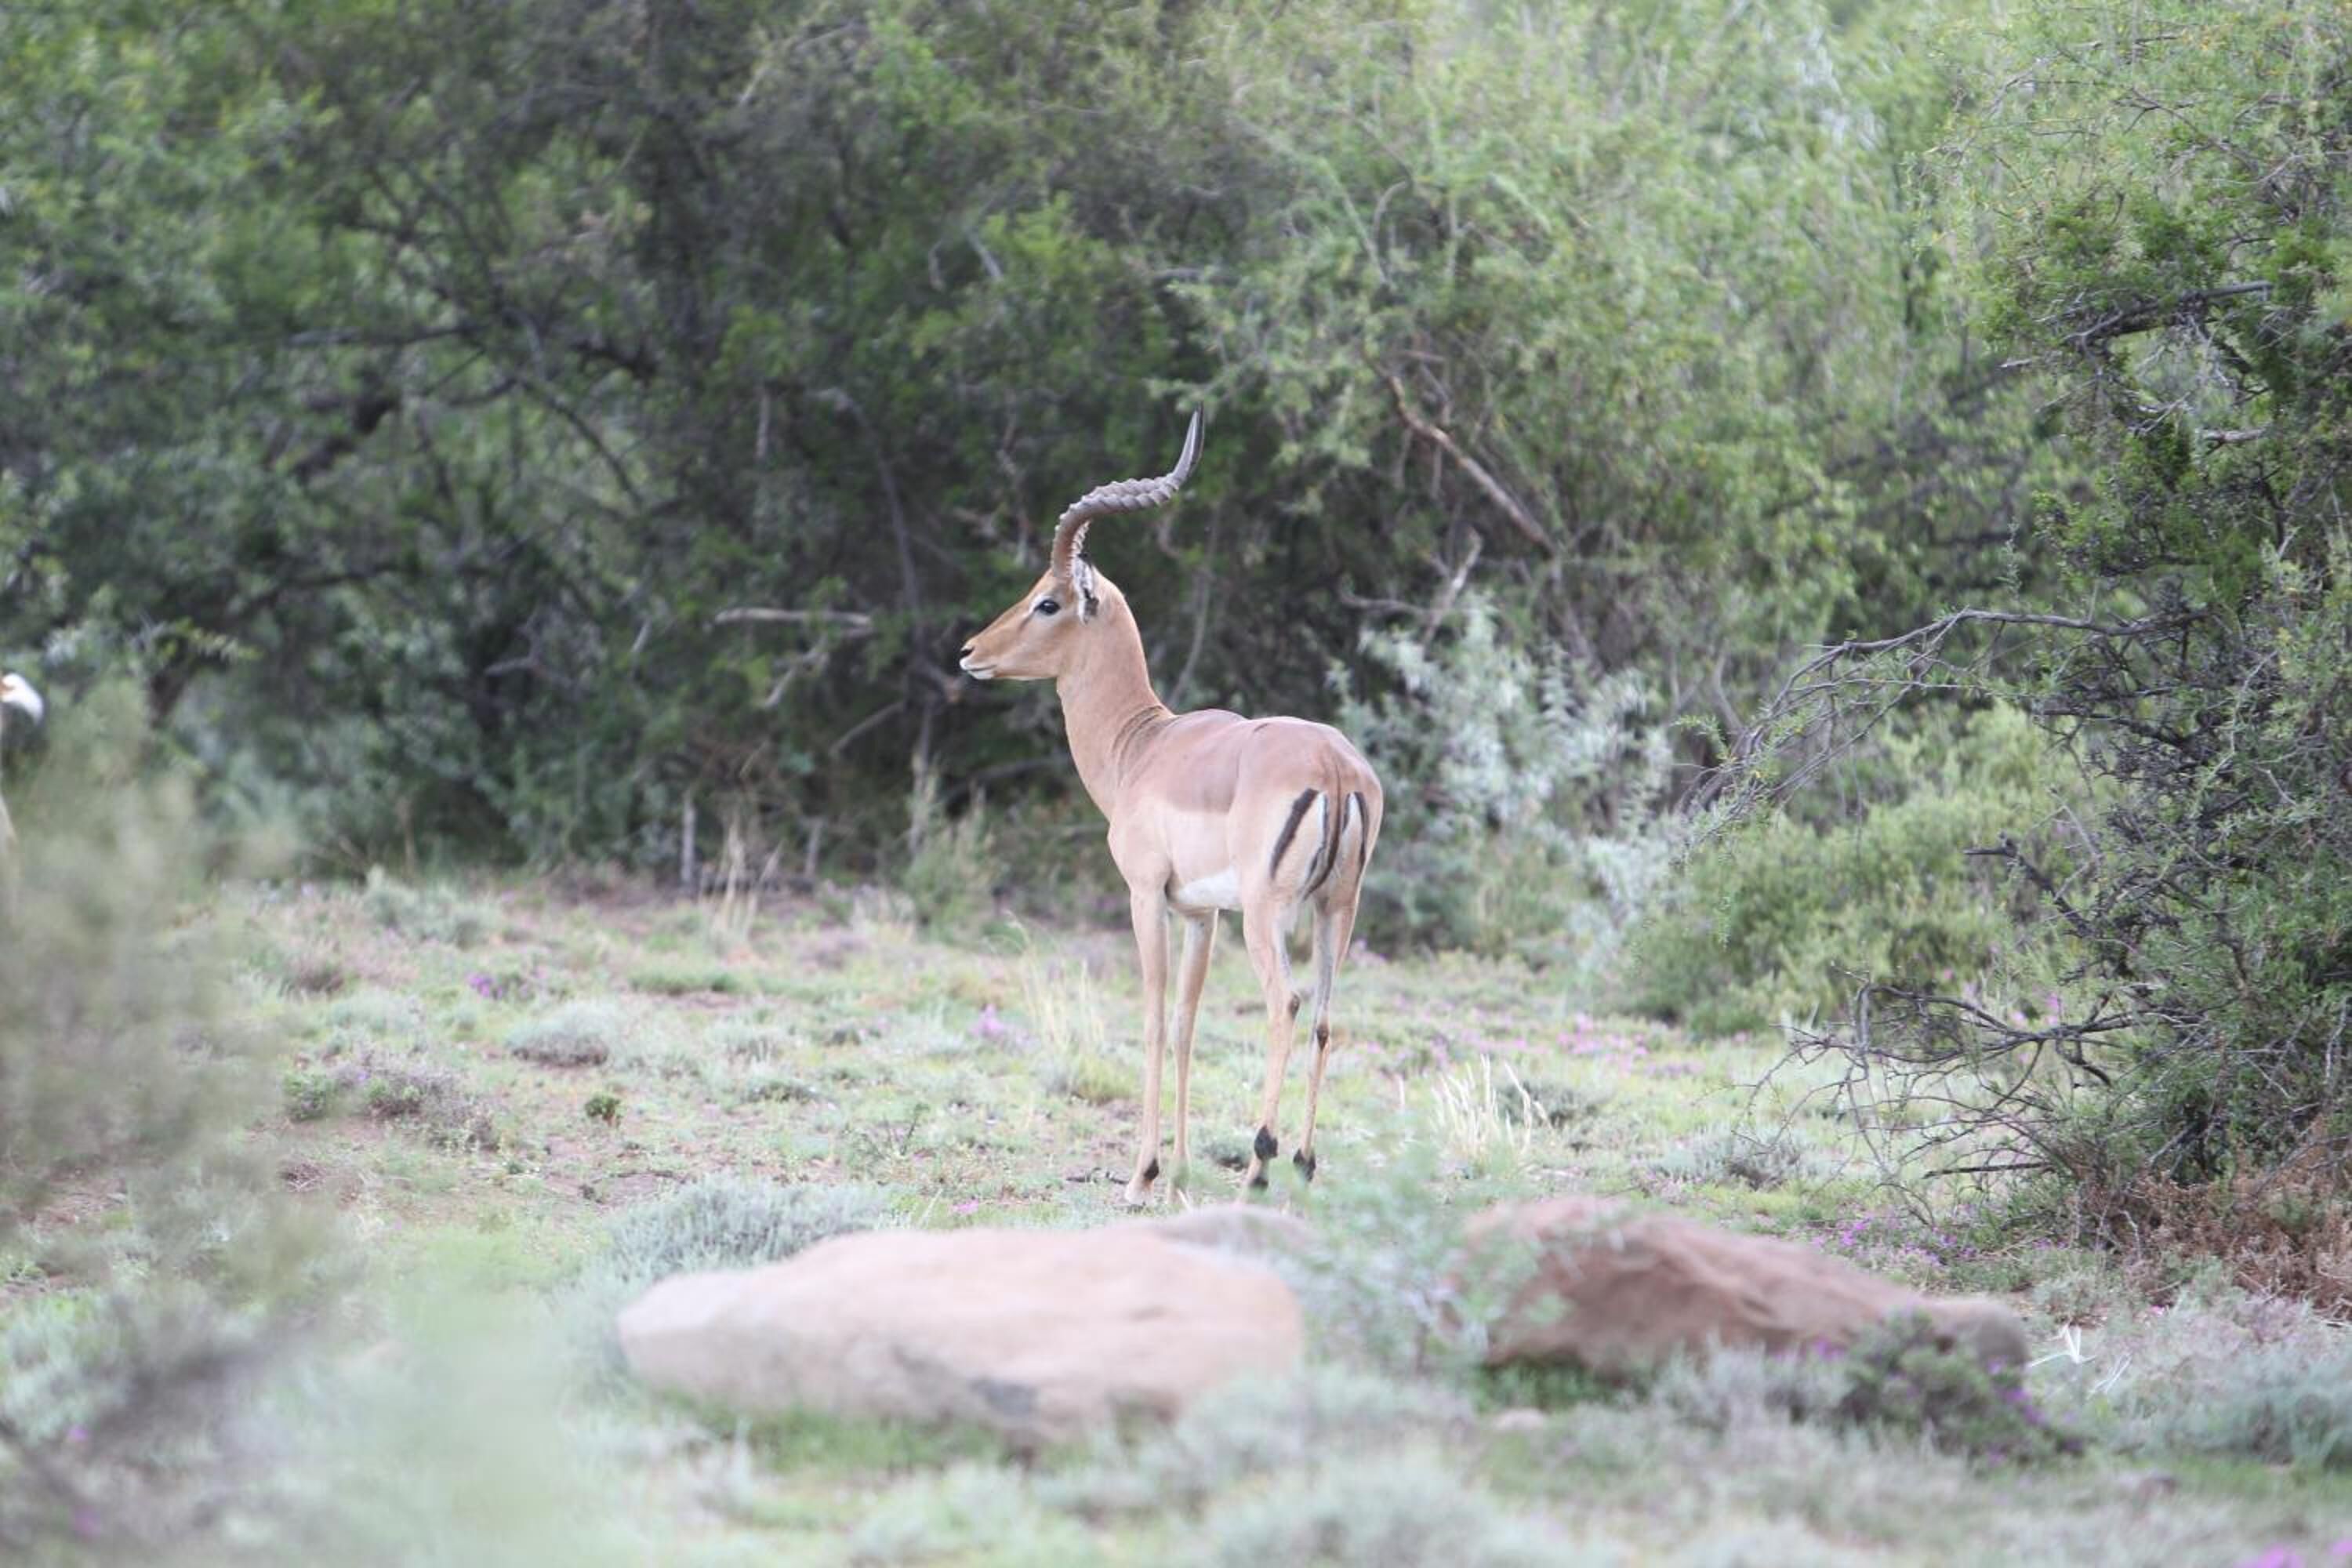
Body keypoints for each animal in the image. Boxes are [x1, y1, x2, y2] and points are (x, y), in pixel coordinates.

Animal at [959, 414, 1383, 1205]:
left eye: (1047, 601)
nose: (971, 651)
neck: (1143, 747)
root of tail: (1337, 770)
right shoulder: (1200, 913)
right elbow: (1188, 1022)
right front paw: (1180, 1168)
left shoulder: (1146, 895)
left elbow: (1155, 1018)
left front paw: (1142, 1174)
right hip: (1336, 909)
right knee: (1325, 1016)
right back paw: (1305, 1166)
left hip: (1267, 914)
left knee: (1284, 1006)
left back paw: (1259, 1166)